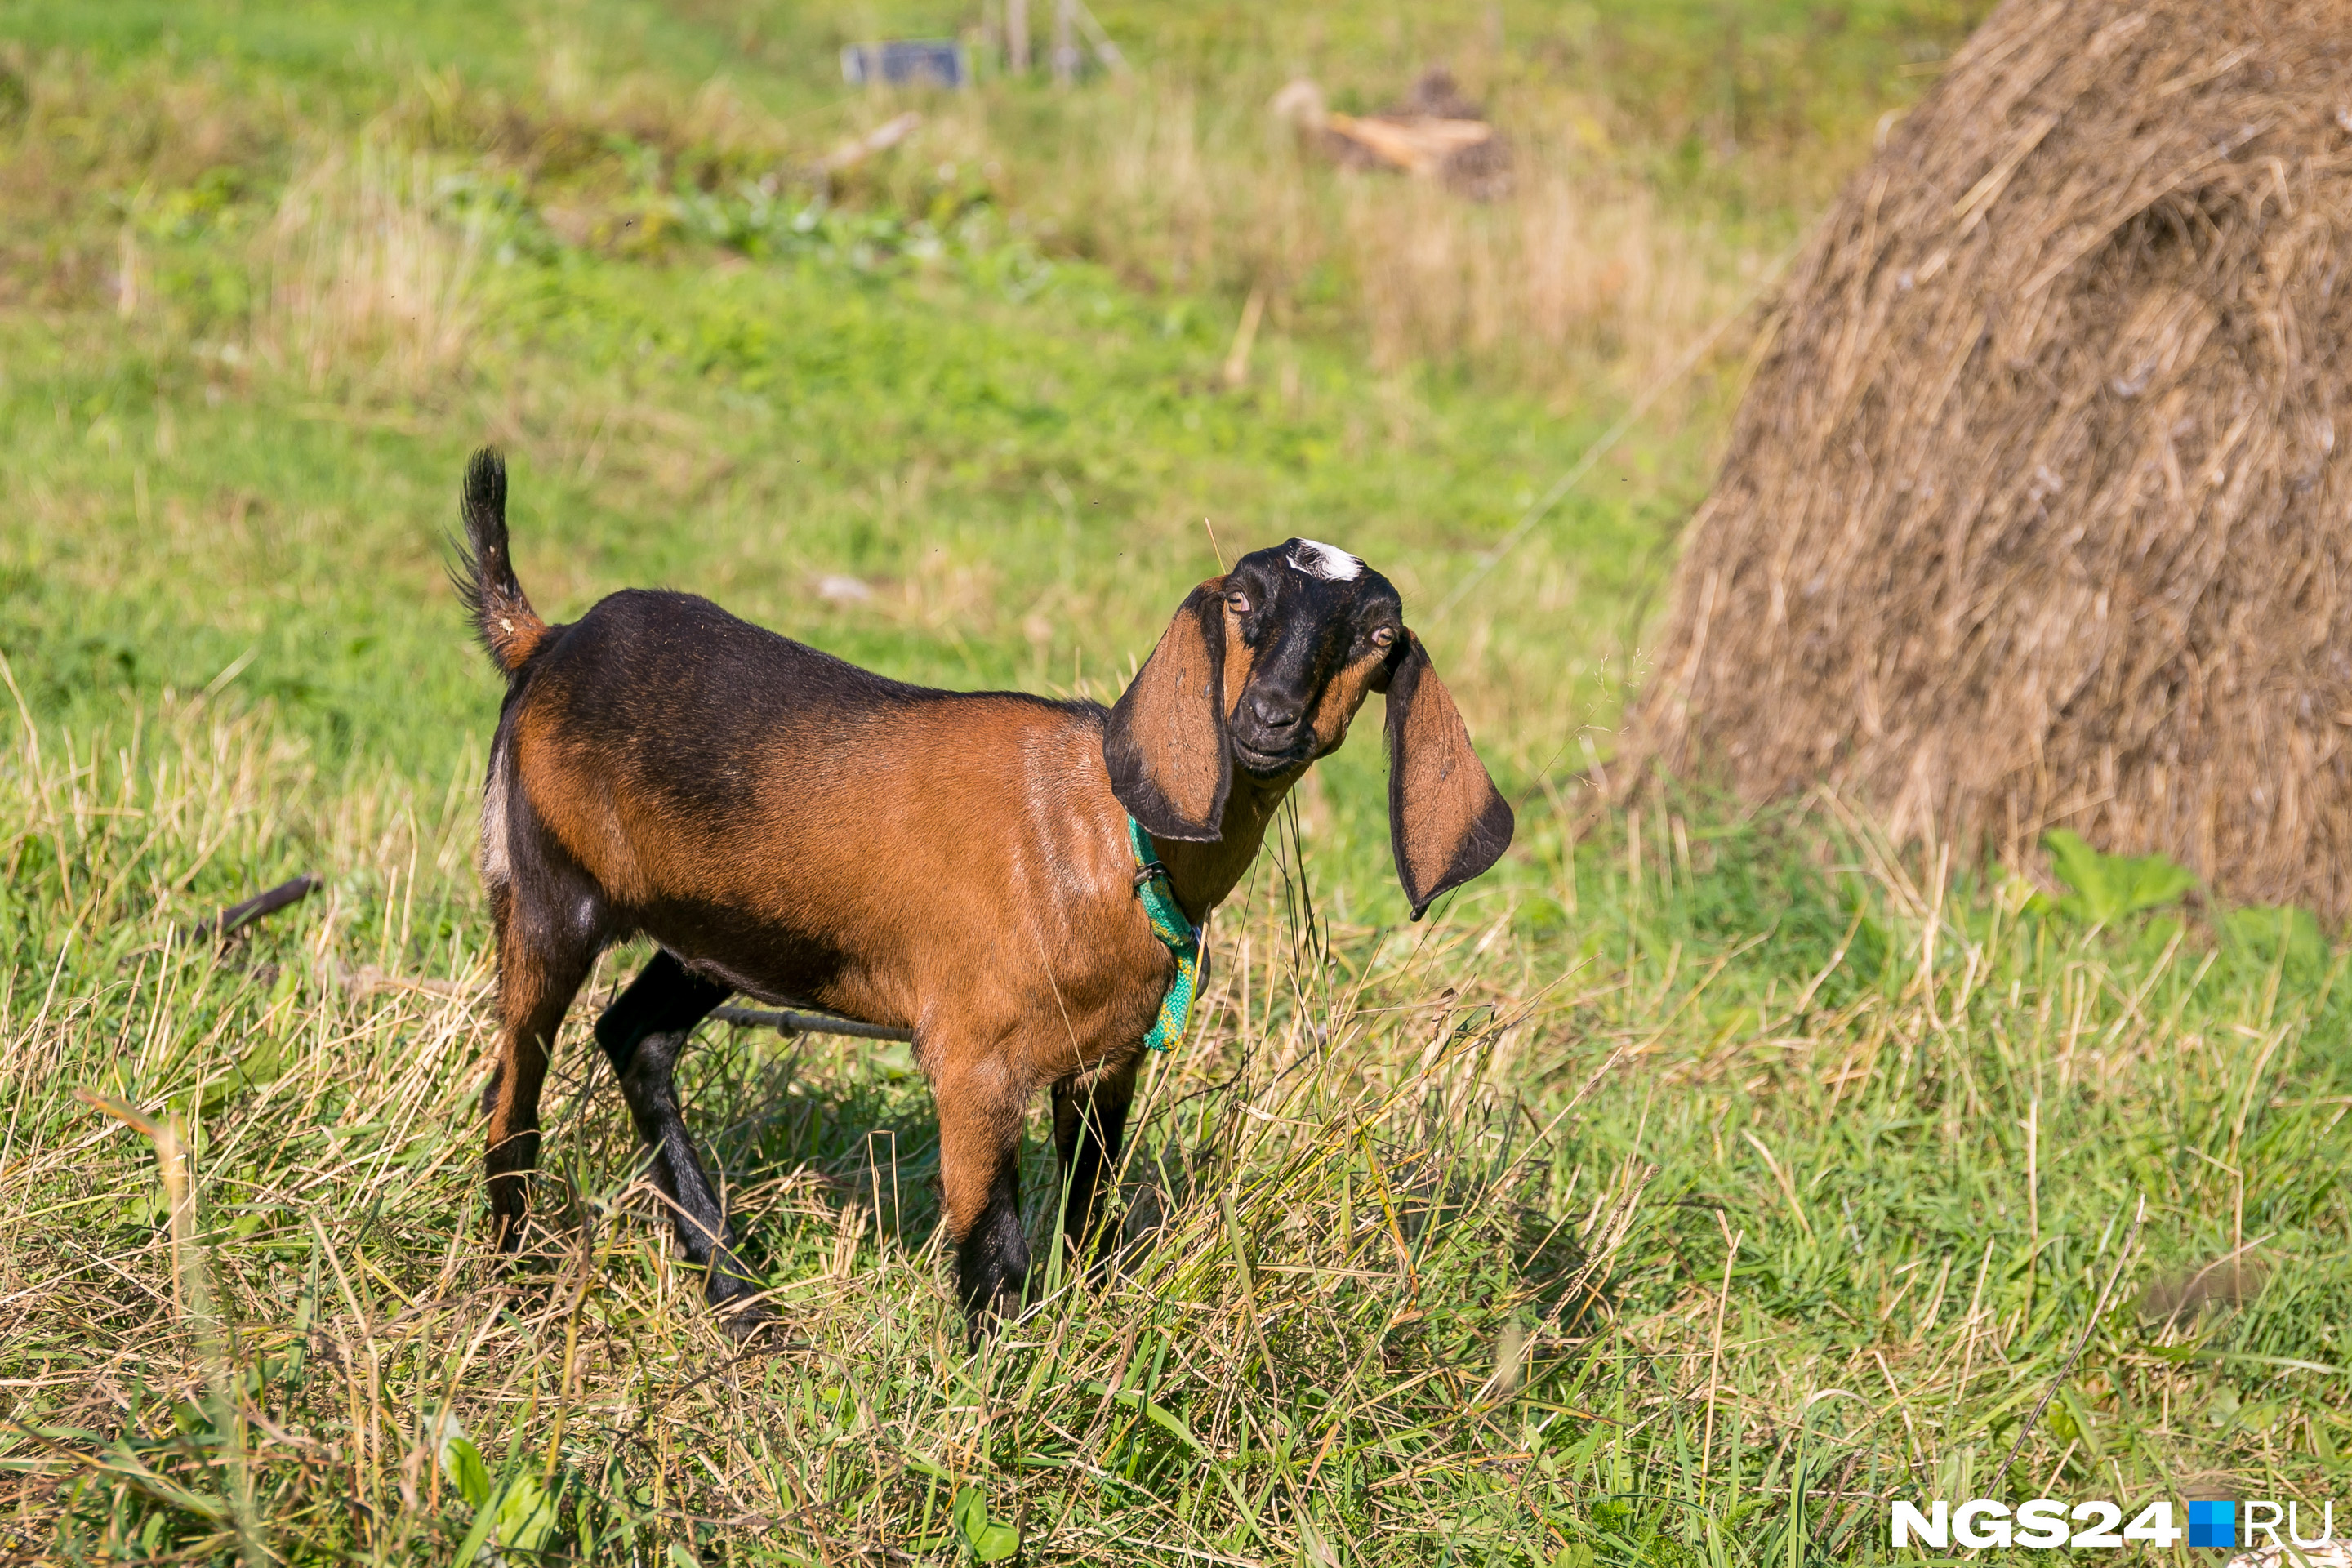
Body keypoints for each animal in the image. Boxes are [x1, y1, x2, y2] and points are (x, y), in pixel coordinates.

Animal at [449, 446, 1514, 1335]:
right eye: (1244, 601)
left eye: (1379, 633)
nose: (1269, 717)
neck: (1103, 830)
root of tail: (545, 641)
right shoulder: (974, 1062)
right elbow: (994, 1255)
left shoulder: (1104, 1063)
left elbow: (1091, 1222)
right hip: (548, 892)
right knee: (515, 1091)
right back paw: (517, 1284)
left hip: (724, 932)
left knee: (634, 1037)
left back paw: (742, 1303)